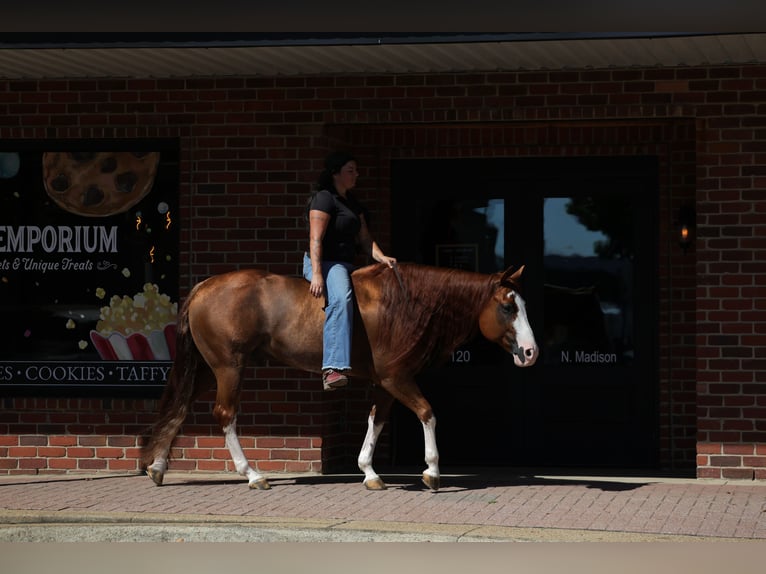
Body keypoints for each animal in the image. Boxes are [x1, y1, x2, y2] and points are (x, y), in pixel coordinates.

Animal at [139, 262, 539, 491]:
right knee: (225, 415)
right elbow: (427, 413)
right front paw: (432, 470)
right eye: (507, 306)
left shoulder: (386, 383)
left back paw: (158, 467)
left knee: (181, 407)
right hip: (228, 367)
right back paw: (251, 474)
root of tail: (201, 287)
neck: (406, 303)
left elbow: (376, 421)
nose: (531, 352)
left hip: (208, 369)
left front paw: (369, 471)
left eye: (523, 304)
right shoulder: (396, 377)